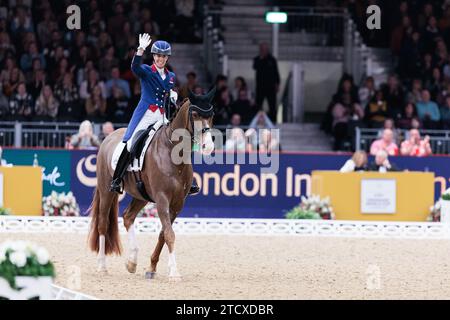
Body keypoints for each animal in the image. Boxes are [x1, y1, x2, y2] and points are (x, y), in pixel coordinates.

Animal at [88, 89, 216, 278]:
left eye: (211, 115)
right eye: (194, 114)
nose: (208, 146)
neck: (172, 153)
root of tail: (108, 137)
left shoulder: (178, 203)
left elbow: (164, 233)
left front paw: (151, 268)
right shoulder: (162, 199)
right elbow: (169, 234)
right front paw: (174, 272)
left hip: (141, 195)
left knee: (128, 217)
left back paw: (132, 261)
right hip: (106, 190)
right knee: (103, 223)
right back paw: (102, 266)